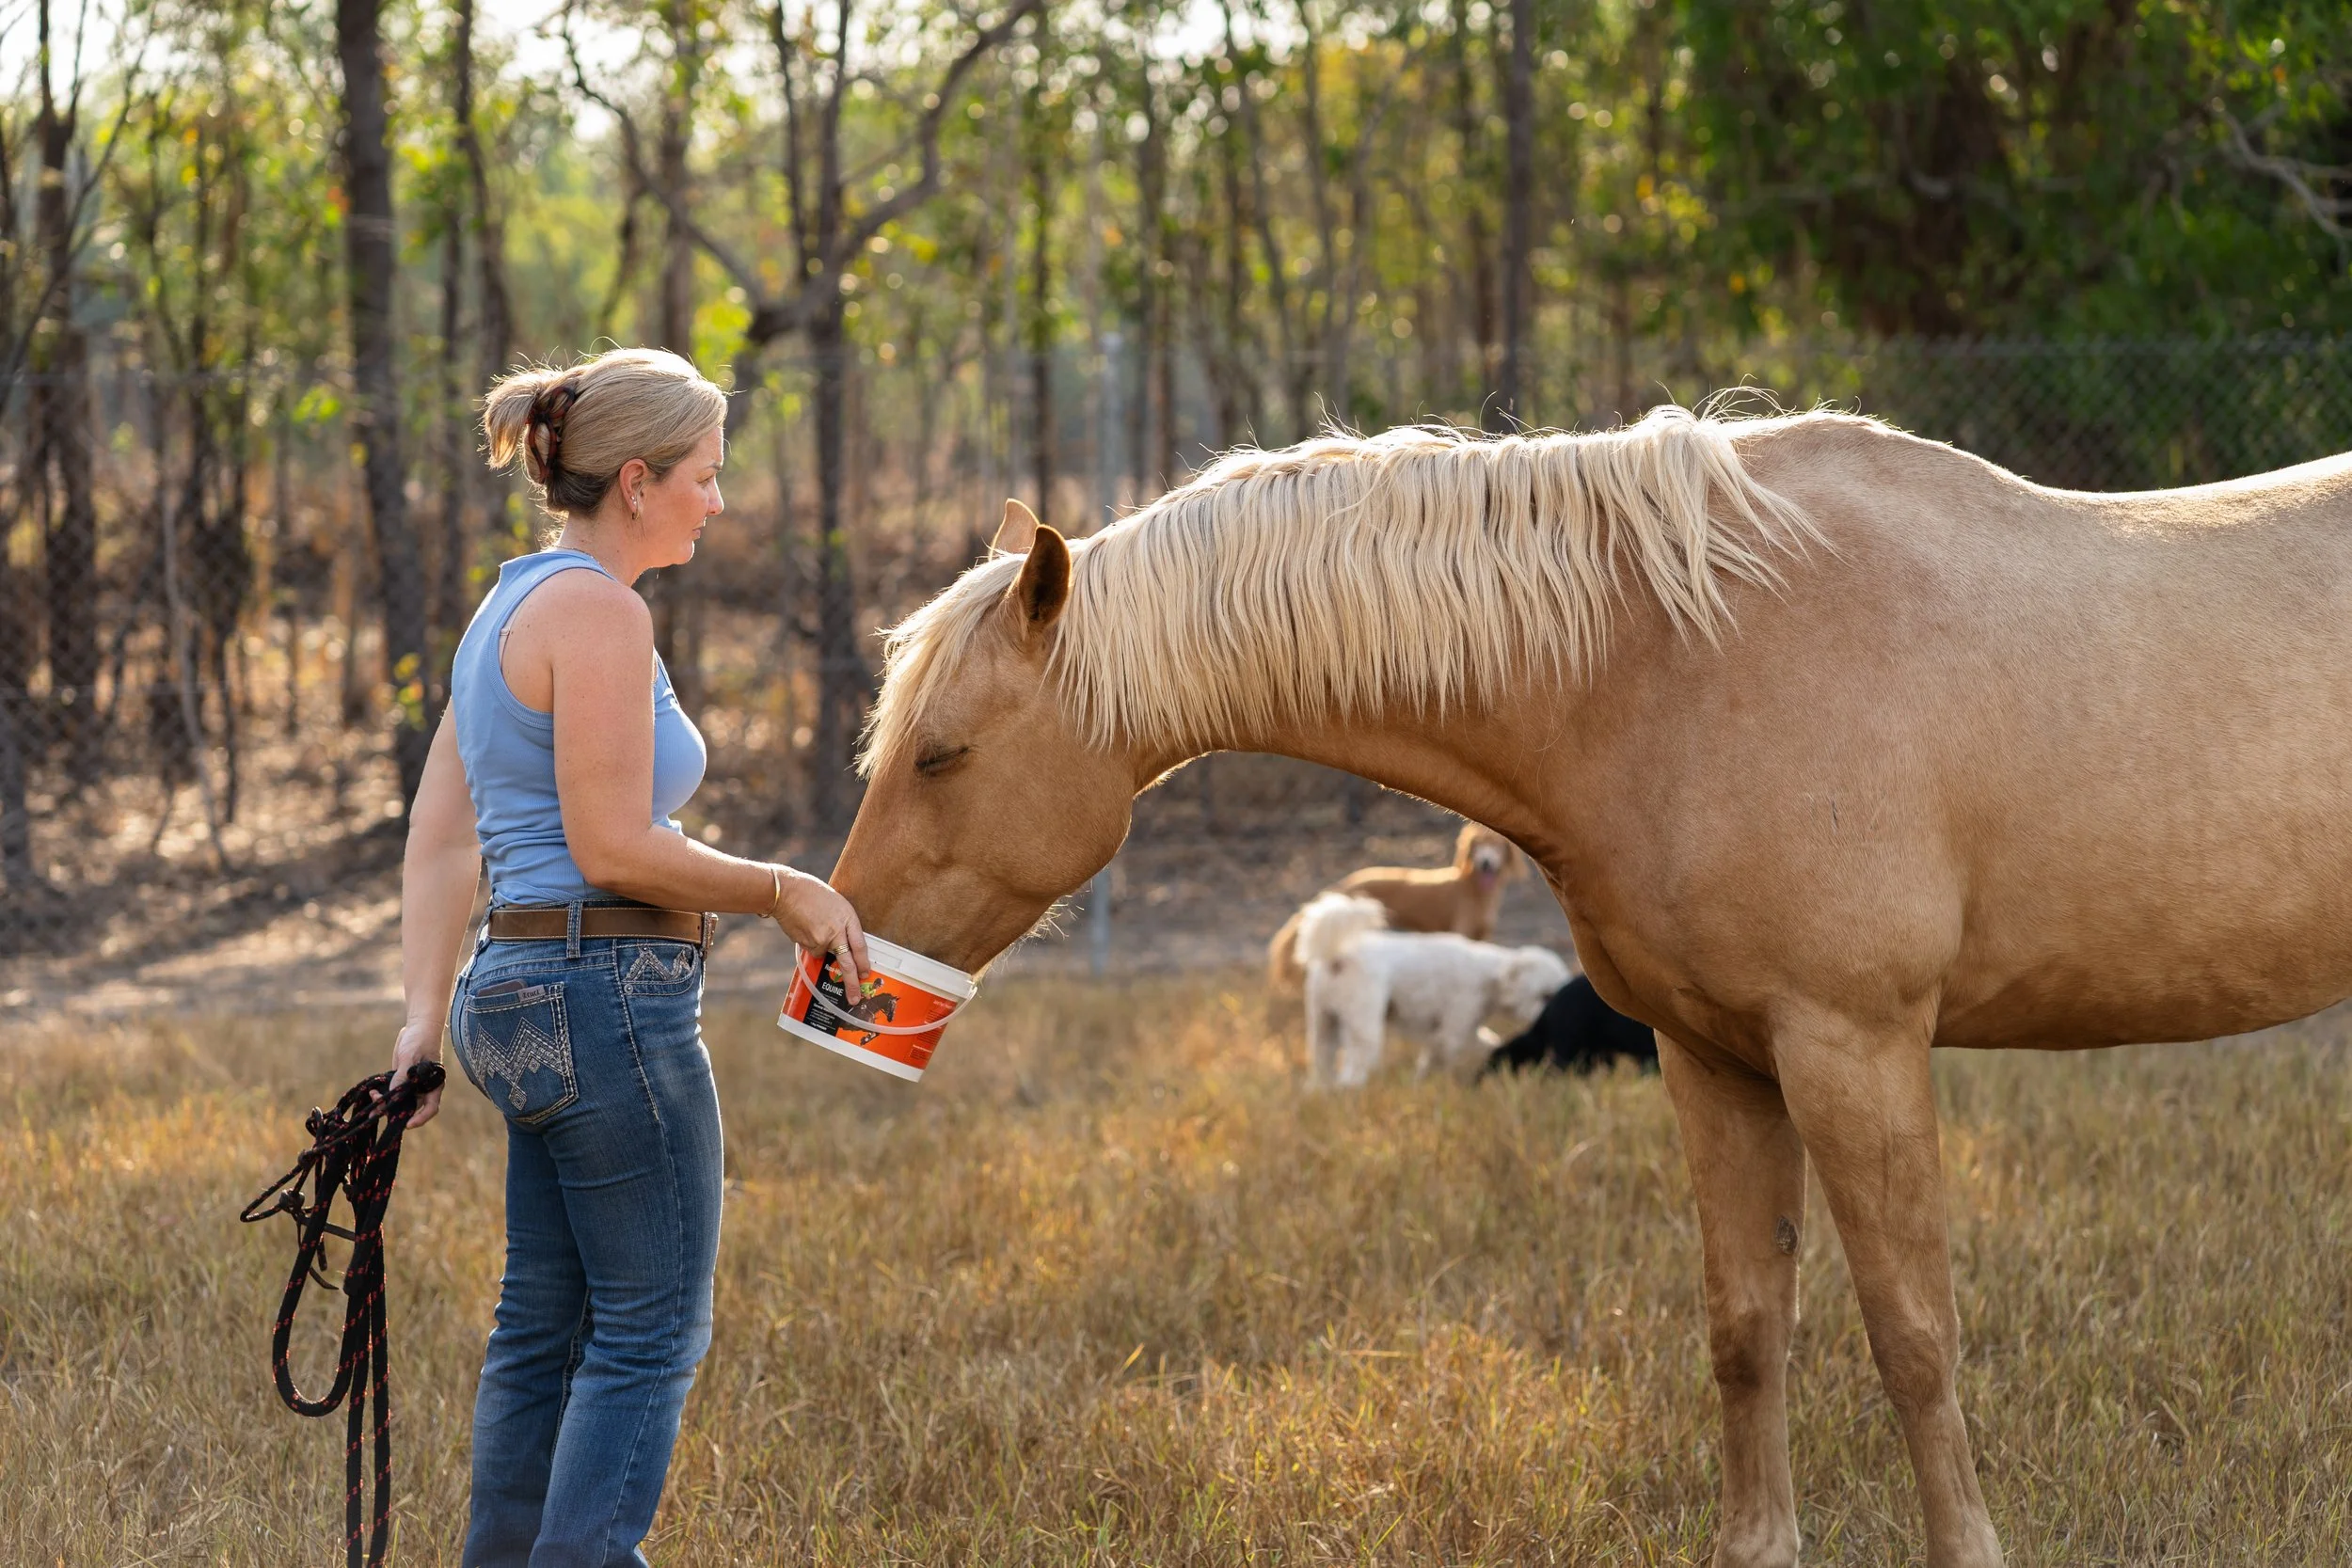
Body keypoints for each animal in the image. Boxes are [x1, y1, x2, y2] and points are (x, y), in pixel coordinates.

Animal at [830, 404, 2352, 1568]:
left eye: (943, 752)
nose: (837, 959)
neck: (1680, 658)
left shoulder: (1853, 1048)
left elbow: (1915, 1338)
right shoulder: (1714, 1053)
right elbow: (1748, 1329)